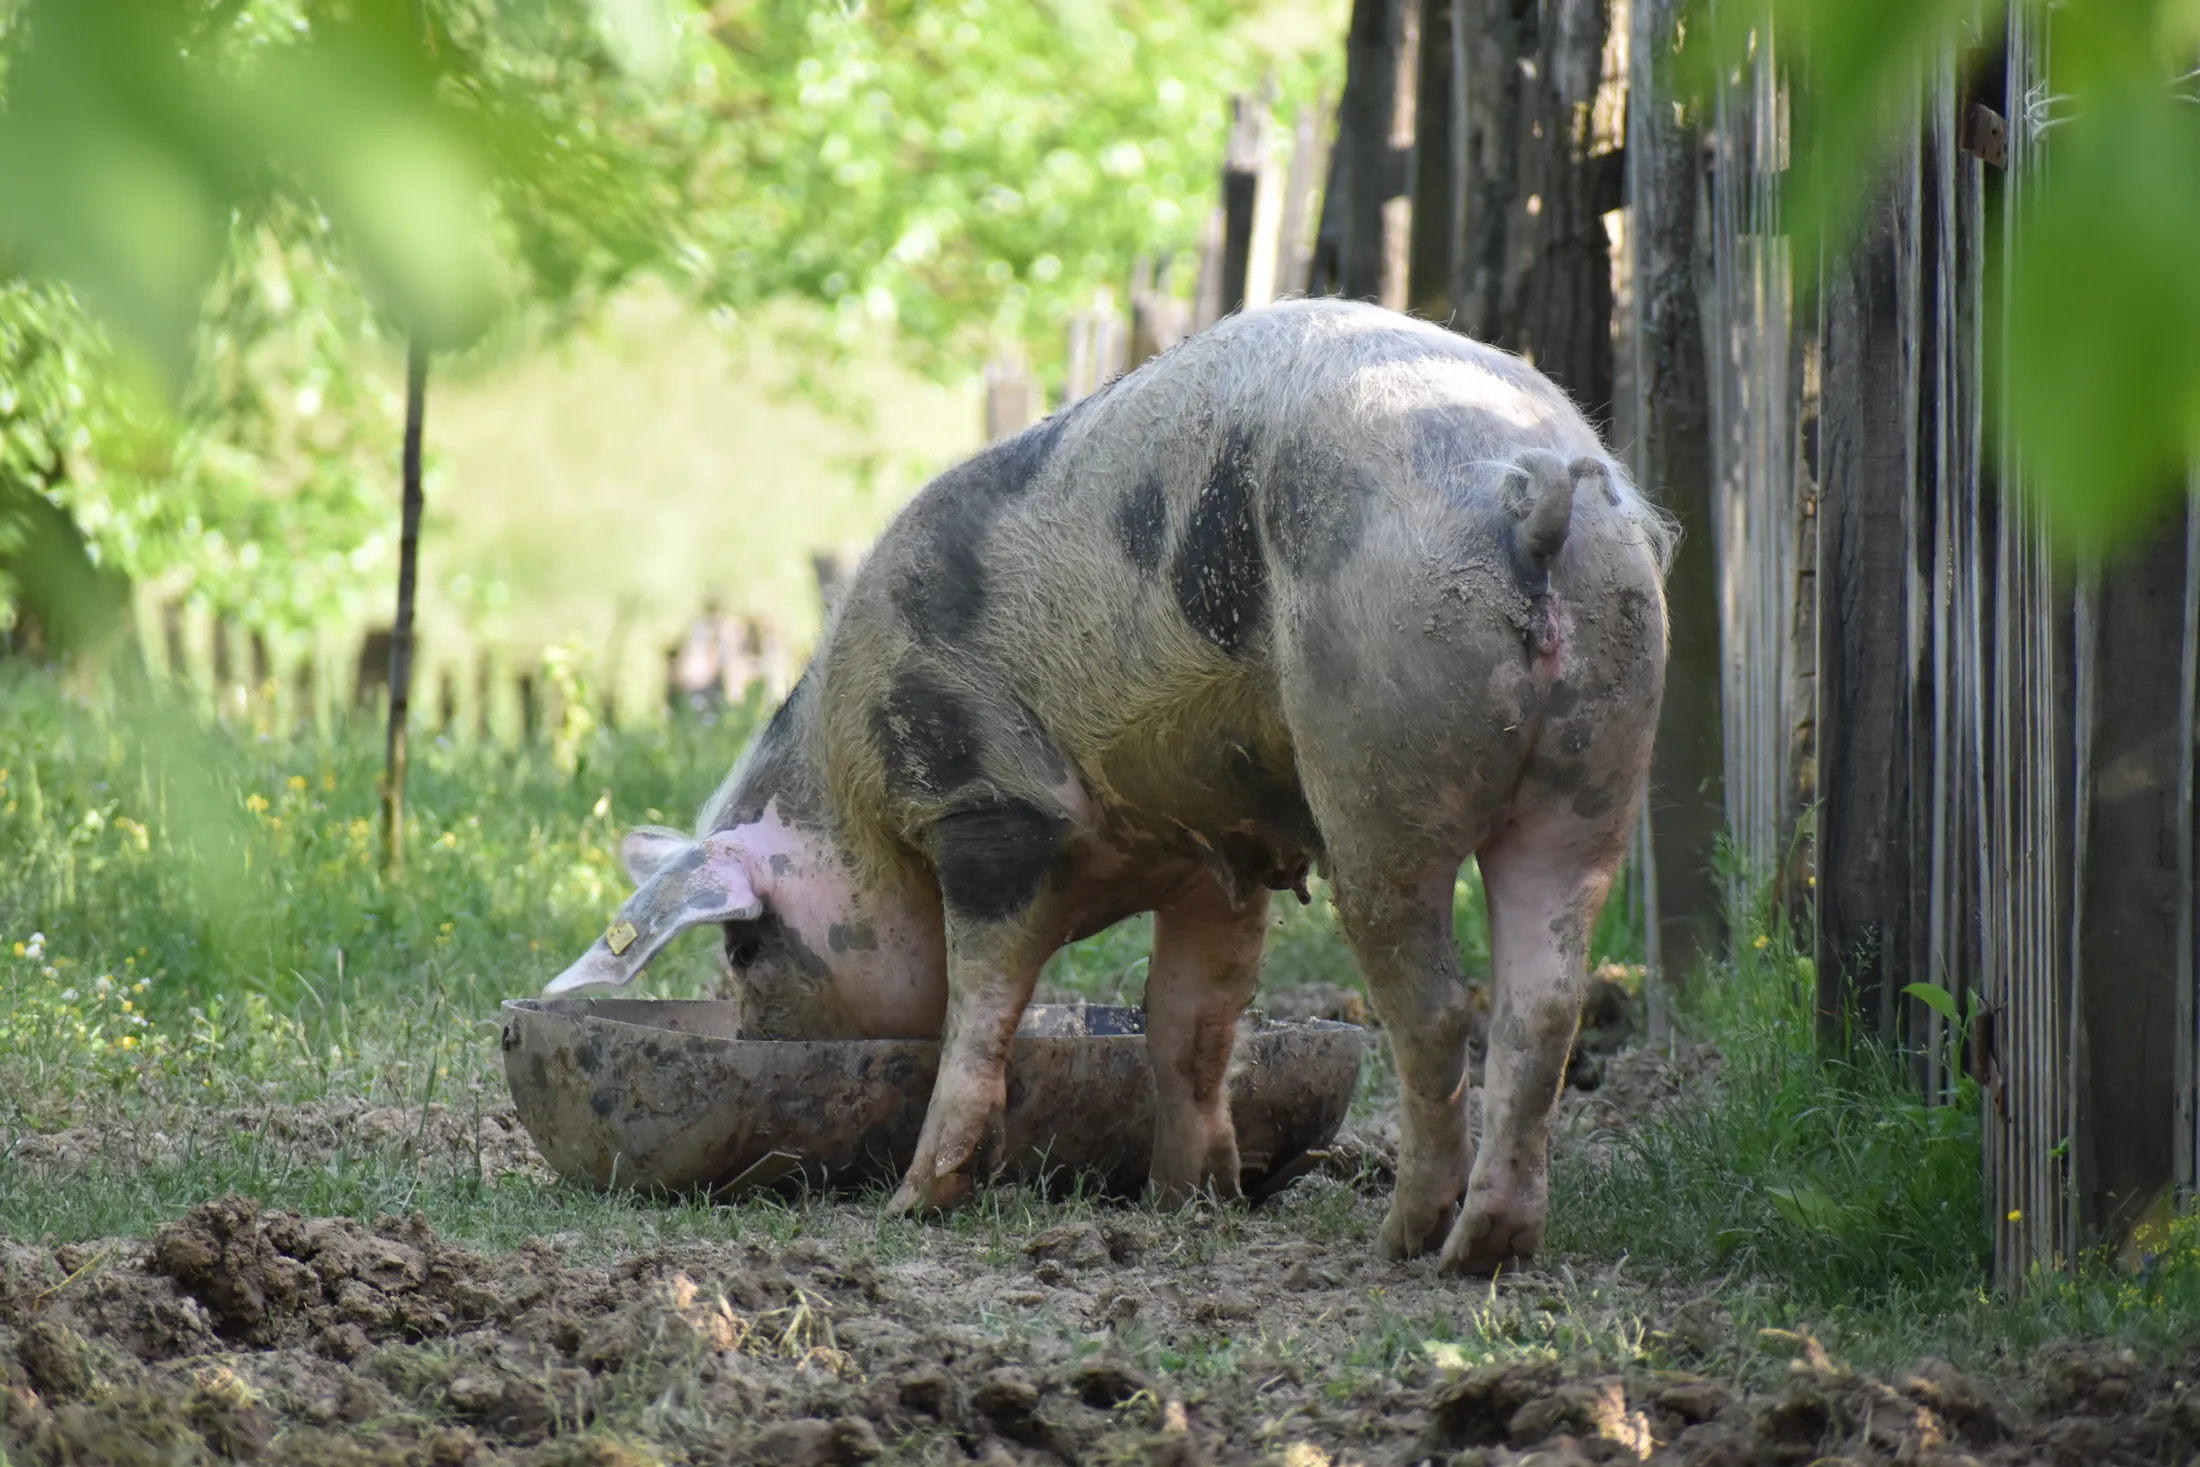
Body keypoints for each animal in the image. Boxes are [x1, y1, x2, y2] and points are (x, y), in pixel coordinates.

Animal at [544, 298, 1672, 1276]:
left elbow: (981, 1007)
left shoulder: (986, 810)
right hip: (1599, 760)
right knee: (1542, 1007)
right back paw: (1485, 1250)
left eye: (744, 948)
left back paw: (1401, 1241)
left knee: (1438, 1010)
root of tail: (1526, 493)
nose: (756, 1039)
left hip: (1380, 764)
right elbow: (1188, 1024)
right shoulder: (1216, 854)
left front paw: (915, 1203)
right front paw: (1193, 1198)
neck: (851, 790)